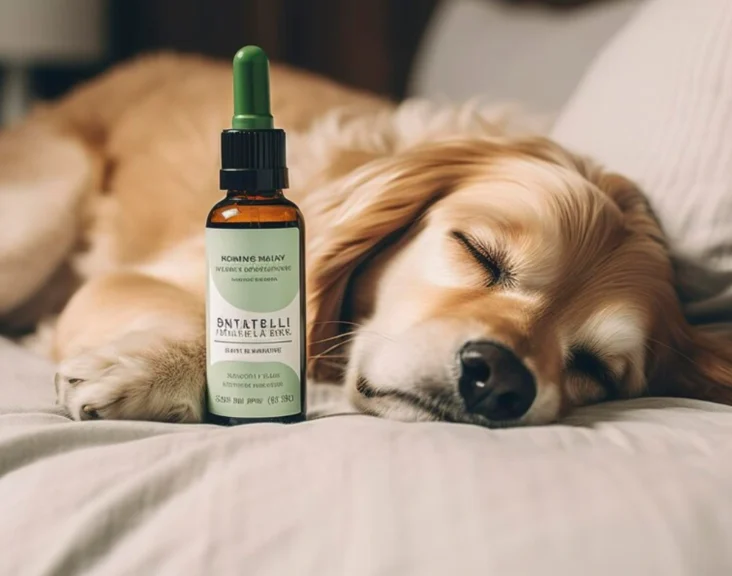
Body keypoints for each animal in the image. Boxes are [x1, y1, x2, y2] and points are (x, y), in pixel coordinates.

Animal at [2, 53, 728, 424]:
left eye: (596, 370)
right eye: (477, 252)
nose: (499, 381)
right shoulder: (134, 276)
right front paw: (153, 367)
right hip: (47, 206)